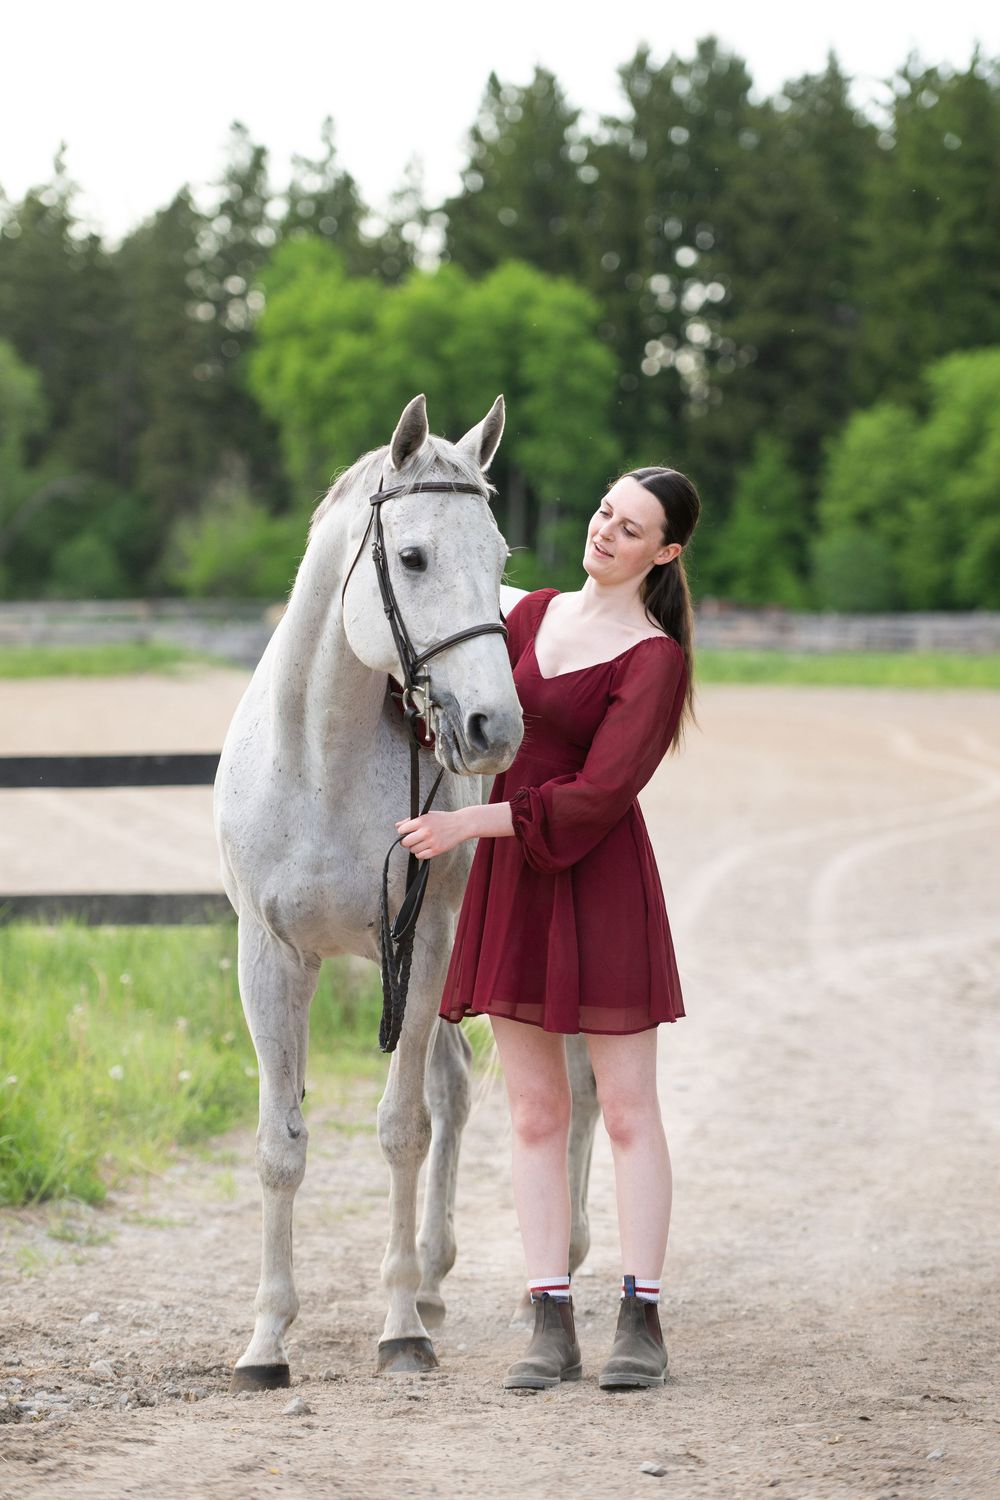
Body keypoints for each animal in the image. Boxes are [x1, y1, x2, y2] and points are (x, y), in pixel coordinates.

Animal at [214, 393, 600, 1386]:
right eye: (415, 556)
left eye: (500, 557)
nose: (494, 728)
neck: (318, 760)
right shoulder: (272, 959)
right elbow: (280, 1146)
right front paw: (267, 1341)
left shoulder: (421, 944)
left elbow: (400, 1130)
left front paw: (397, 1334)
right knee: (458, 1088)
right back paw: (431, 1276)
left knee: (577, 1090)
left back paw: (556, 1265)